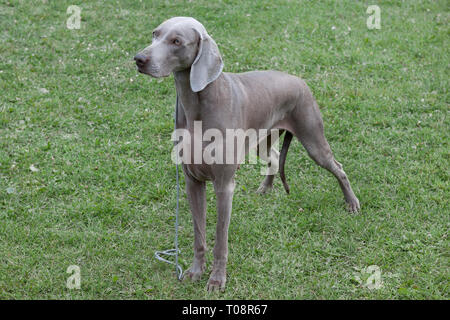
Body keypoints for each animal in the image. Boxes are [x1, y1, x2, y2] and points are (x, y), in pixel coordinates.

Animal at [133, 17, 358, 292]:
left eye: (176, 41)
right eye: (155, 34)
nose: (139, 58)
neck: (196, 105)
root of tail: (299, 80)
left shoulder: (224, 185)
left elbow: (220, 239)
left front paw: (217, 279)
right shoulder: (192, 181)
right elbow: (199, 234)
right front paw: (196, 271)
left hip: (313, 138)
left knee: (338, 166)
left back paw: (352, 203)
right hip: (262, 139)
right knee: (274, 157)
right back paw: (265, 188)